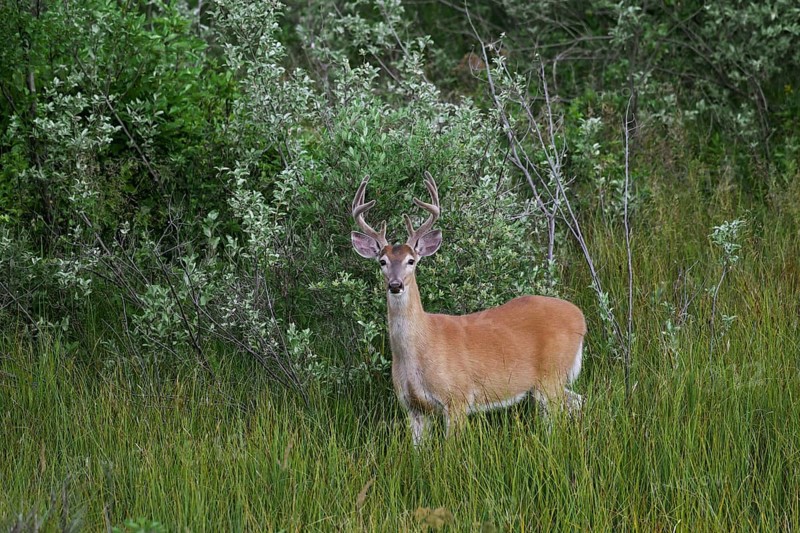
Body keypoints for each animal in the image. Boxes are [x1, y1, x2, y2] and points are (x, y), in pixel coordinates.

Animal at [350, 172, 586, 445]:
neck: (417, 351)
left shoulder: (458, 397)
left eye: (411, 261)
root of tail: (580, 316)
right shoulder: (413, 408)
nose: (395, 285)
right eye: (382, 261)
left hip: (552, 376)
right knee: (579, 401)